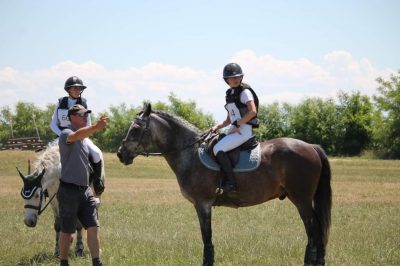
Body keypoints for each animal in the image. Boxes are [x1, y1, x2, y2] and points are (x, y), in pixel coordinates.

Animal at [117, 104, 332, 266]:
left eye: (136, 129)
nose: (120, 154)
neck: (190, 153)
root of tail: (311, 147)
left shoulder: (202, 204)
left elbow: (206, 236)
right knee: (317, 228)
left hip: (301, 200)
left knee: (313, 230)